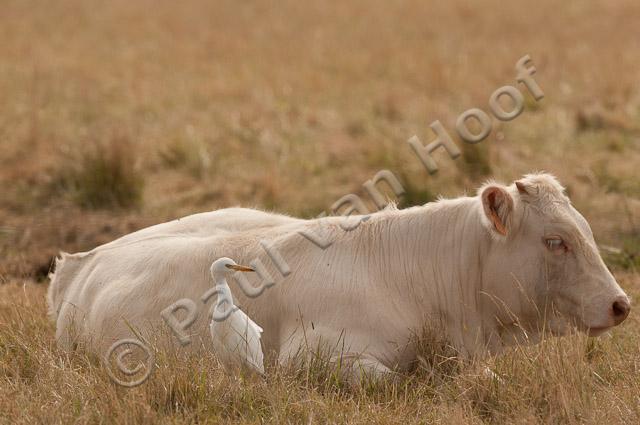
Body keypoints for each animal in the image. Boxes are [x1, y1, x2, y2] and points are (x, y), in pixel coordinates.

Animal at [48, 172, 632, 380]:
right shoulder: (314, 357)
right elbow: (394, 379)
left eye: (584, 231)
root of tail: (79, 258)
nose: (621, 304)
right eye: (555, 241)